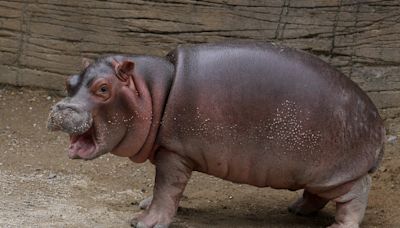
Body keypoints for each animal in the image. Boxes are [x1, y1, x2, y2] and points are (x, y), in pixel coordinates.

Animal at [47, 42, 384, 226]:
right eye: (69, 81)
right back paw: (297, 210)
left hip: (338, 171)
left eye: (103, 88)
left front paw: (142, 222)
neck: (151, 90)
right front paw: (144, 205)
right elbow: (166, 190)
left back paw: (338, 226)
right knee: (319, 194)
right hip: (316, 173)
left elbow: (166, 187)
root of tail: (378, 123)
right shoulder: (171, 152)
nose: (60, 109)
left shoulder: (173, 152)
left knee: (357, 193)